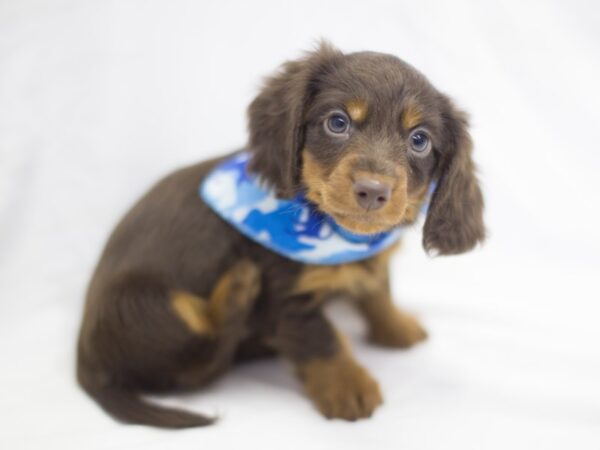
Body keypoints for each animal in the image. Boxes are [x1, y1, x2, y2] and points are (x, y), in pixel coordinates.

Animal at [77, 43, 486, 428]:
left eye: (419, 141)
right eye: (338, 122)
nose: (373, 191)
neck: (334, 233)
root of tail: (85, 358)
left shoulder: (369, 263)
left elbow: (377, 289)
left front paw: (396, 327)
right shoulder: (284, 299)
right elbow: (323, 339)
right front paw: (348, 387)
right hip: (146, 306)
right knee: (201, 366)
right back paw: (238, 289)